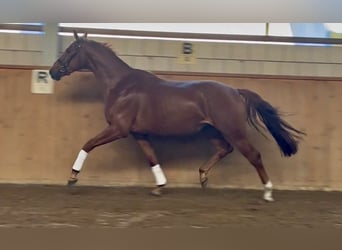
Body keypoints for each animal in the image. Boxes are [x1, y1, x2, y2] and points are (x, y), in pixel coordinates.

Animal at [48, 32, 304, 202]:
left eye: (70, 51)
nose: (52, 71)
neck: (121, 86)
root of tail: (235, 91)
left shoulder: (118, 129)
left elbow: (87, 144)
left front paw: (72, 178)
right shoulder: (139, 134)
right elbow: (152, 158)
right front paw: (160, 186)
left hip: (233, 131)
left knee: (254, 155)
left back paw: (268, 192)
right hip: (211, 131)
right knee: (225, 149)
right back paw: (202, 177)